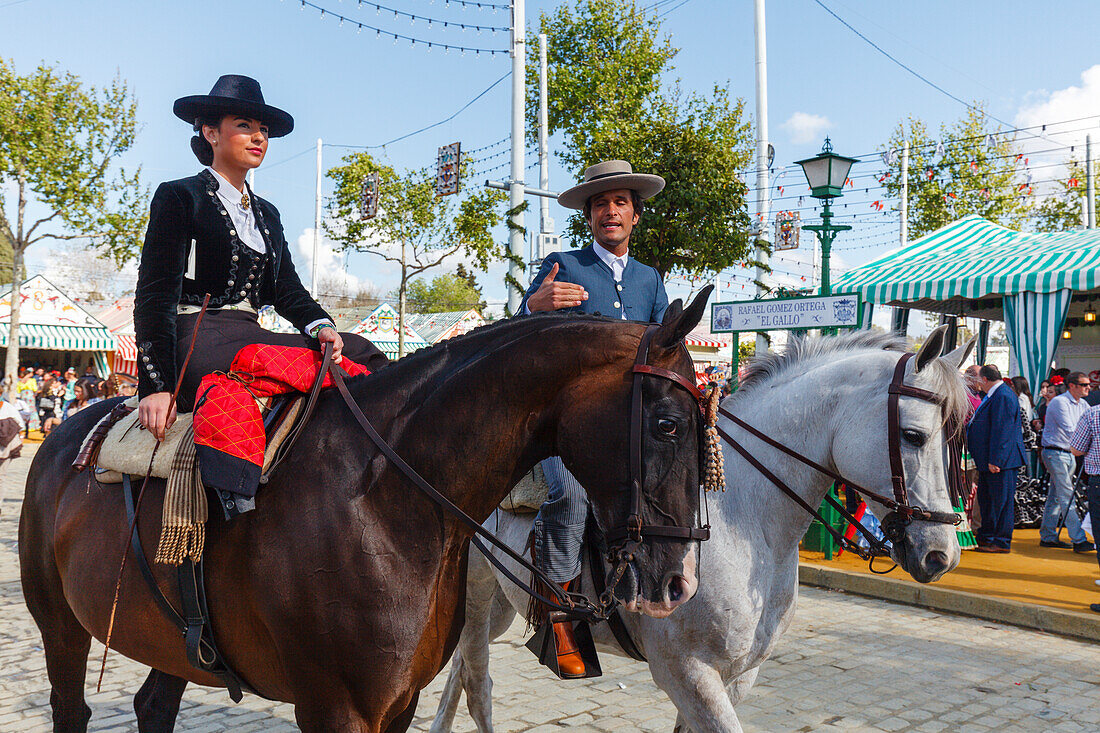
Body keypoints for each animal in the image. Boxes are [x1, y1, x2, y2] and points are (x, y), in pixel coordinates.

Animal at [19, 288, 712, 726]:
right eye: (669, 424)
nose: (678, 584)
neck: (388, 503)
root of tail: (59, 437)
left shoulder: (399, 702)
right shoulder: (336, 708)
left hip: (173, 639)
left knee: (154, 707)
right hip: (59, 624)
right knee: (71, 707)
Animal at [433, 325, 976, 730]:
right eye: (914, 435)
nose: (942, 554)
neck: (745, 523)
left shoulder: (737, 676)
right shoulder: (688, 673)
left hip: (503, 600)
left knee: (459, 672)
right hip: (476, 596)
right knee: (477, 685)